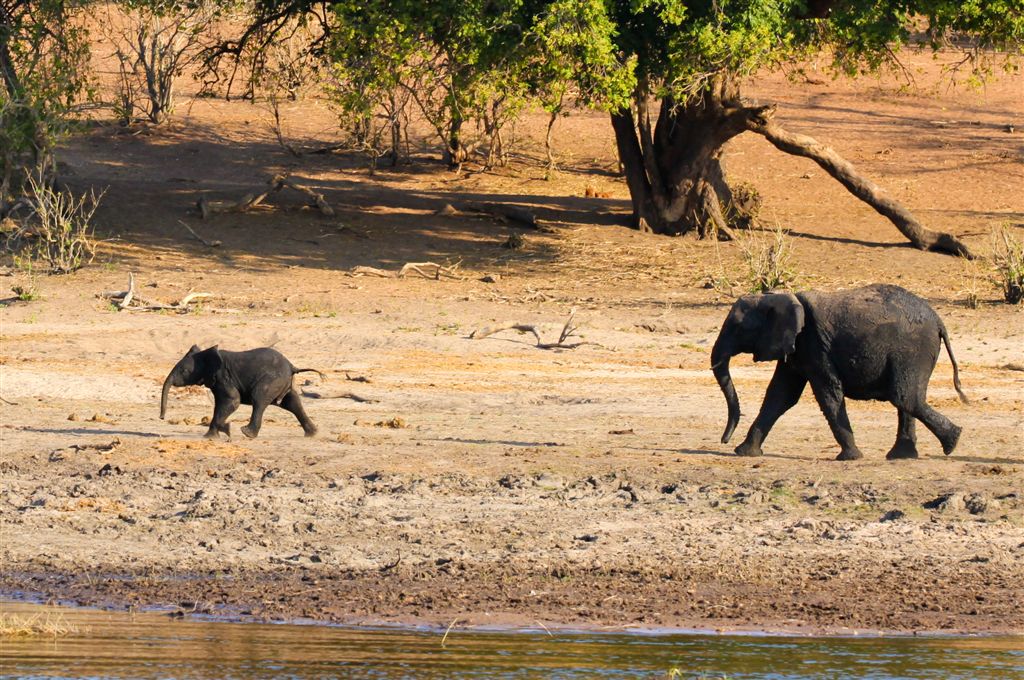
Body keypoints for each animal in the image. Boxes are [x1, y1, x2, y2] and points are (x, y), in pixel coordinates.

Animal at [159, 346, 321, 440]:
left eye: (184, 371)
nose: (162, 418)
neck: (206, 354)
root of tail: (292, 366)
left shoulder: (224, 376)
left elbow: (233, 401)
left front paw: (224, 430)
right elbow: (222, 404)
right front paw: (213, 435)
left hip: (272, 380)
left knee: (259, 399)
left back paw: (247, 433)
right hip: (282, 383)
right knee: (292, 403)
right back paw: (312, 434)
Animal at [712, 280, 966, 462]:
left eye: (738, 328)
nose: (724, 441)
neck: (785, 296)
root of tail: (939, 321)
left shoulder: (815, 345)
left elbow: (828, 395)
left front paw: (850, 458)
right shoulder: (796, 348)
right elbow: (780, 396)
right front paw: (744, 452)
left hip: (912, 349)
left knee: (904, 397)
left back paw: (952, 442)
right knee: (907, 399)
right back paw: (903, 456)